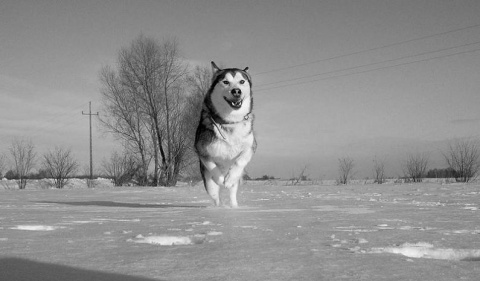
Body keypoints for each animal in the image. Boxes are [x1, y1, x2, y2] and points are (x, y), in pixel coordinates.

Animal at [194, 61, 256, 206]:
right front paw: (220, 179)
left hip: (236, 184)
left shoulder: (250, 146)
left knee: (232, 193)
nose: (236, 91)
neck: (230, 121)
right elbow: (212, 165)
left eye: (242, 81)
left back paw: (234, 206)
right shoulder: (201, 149)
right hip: (208, 184)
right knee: (215, 196)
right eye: (225, 82)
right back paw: (220, 207)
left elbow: (240, 161)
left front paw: (228, 179)